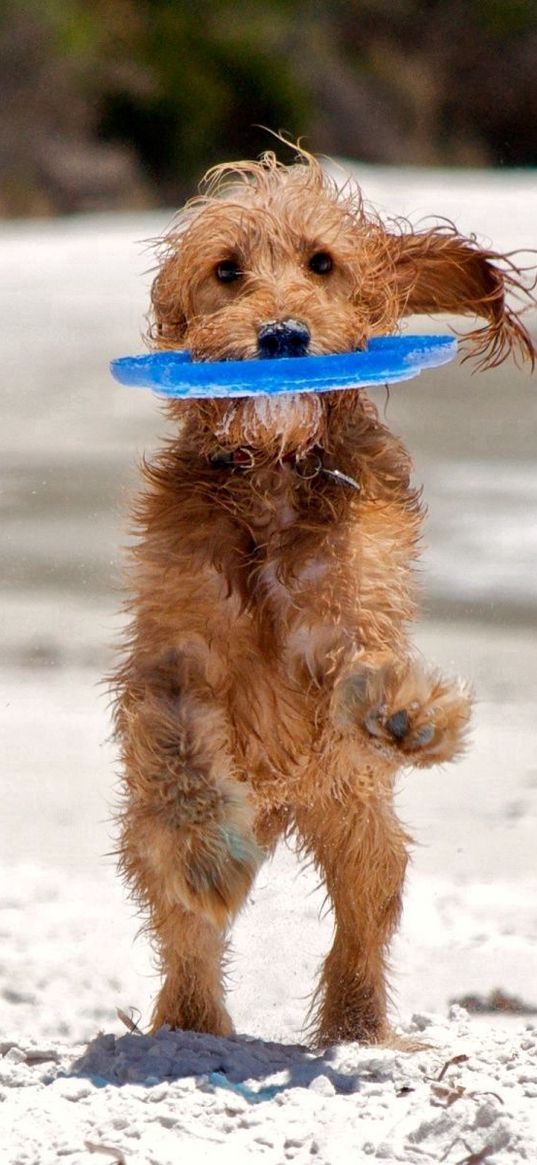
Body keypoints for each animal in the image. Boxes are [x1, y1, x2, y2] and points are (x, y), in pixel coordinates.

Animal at [111, 145, 531, 1048]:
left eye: (322, 263)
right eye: (226, 270)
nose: (283, 336)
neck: (271, 472)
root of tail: (279, 806)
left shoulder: (349, 611)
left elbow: (365, 663)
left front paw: (407, 710)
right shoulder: (172, 653)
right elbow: (179, 747)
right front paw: (205, 851)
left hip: (358, 820)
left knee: (363, 920)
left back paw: (357, 1026)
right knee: (185, 932)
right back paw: (192, 1021)